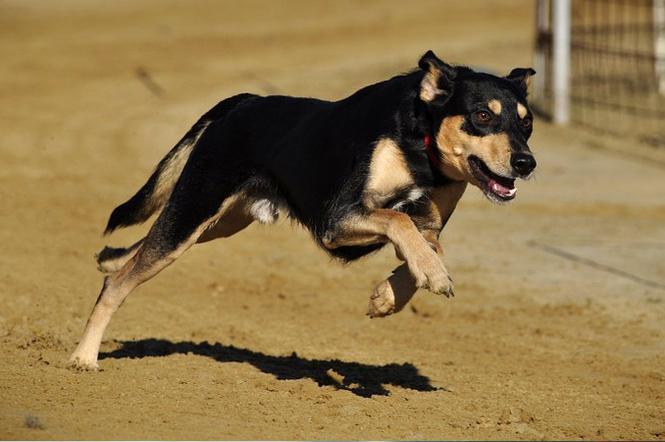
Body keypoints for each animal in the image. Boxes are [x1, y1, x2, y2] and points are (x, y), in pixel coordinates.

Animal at [68, 51, 536, 370]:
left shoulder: (429, 226)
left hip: (217, 221)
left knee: (133, 255)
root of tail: (244, 101)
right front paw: (432, 278)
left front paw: (388, 296)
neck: (421, 147)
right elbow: (399, 220)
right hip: (195, 209)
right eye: (481, 115)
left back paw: (109, 260)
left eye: (527, 122)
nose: (526, 163)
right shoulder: (337, 219)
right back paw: (84, 357)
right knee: (119, 284)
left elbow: (425, 246)